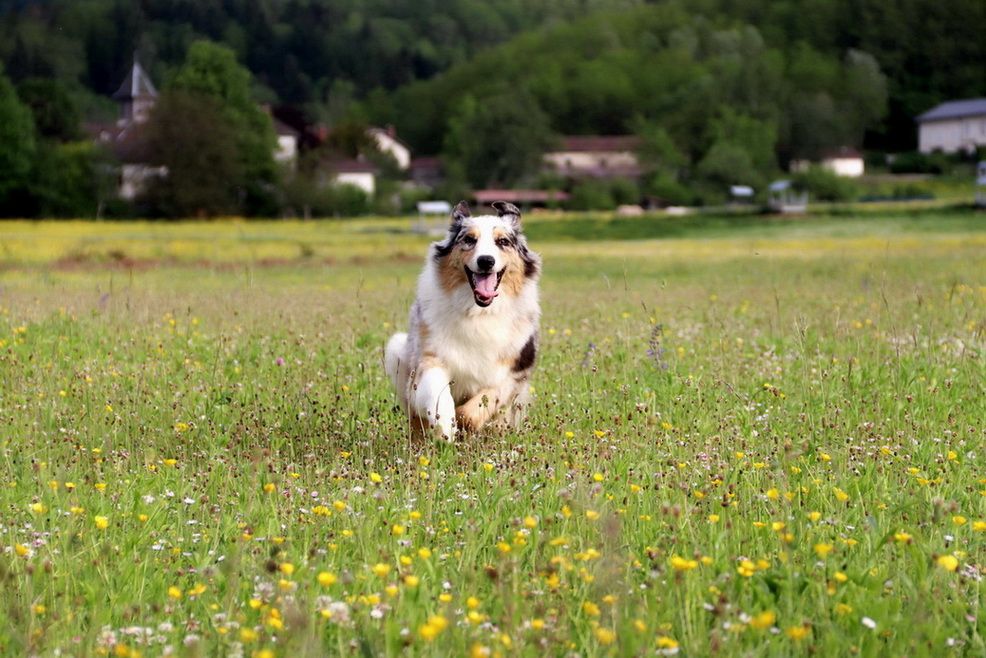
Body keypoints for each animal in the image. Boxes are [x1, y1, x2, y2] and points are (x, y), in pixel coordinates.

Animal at [382, 199, 540, 436]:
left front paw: (464, 423)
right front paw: (446, 426)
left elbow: (477, 407)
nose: (486, 261)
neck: (478, 312)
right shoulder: (431, 357)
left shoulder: (514, 371)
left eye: (503, 241)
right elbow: (438, 396)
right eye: (469, 239)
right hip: (397, 349)